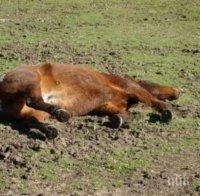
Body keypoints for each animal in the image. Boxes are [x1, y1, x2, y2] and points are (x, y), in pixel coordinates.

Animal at [0, 62, 181, 138]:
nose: (178, 92)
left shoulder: (106, 105)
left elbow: (124, 115)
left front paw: (117, 120)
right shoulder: (129, 88)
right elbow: (151, 99)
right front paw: (167, 112)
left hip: (30, 112)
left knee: (29, 121)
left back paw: (51, 130)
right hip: (30, 80)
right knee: (33, 100)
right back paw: (60, 113)